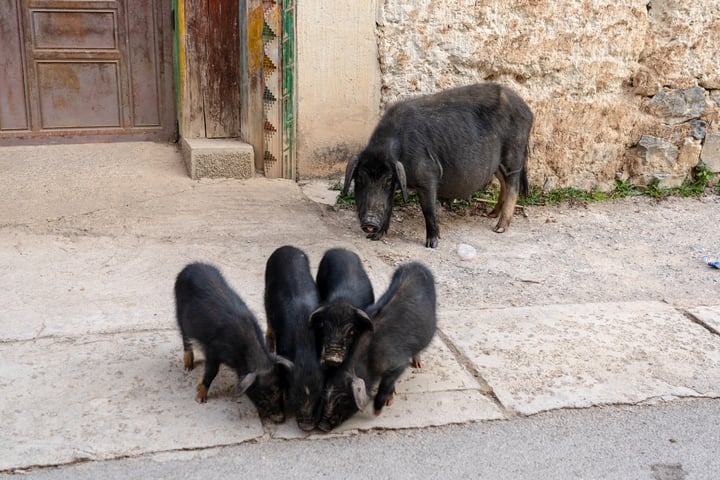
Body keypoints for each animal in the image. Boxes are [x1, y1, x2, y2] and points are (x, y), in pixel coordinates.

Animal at [174, 262, 291, 423]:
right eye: (262, 394)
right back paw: (187, 368)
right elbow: (211, 372)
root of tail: (191, 265)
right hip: (179, 312)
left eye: (281, 389)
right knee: (185, 338)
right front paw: (200, 399)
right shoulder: (213, 351)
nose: (280, 418)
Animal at [318, 261, 437, 431]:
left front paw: (378, 411)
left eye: (344, 399)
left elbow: (386, 384)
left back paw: (418, 365)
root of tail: (416, 264)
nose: (321, 426)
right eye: (325, 397)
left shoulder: (398, 364)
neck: (368, 359)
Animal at [342, 82, 534, 248]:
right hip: (498, 163)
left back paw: (499, 228)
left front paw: (432, 244)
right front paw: (374, 237)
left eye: (387, 180)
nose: (370, 223)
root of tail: (528, 110)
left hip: (514, 153)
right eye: (360, 179)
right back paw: (491, 214)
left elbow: (428, 209)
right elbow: (388, 206)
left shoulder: (427, 176)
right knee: (503, 182)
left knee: (513, 185)